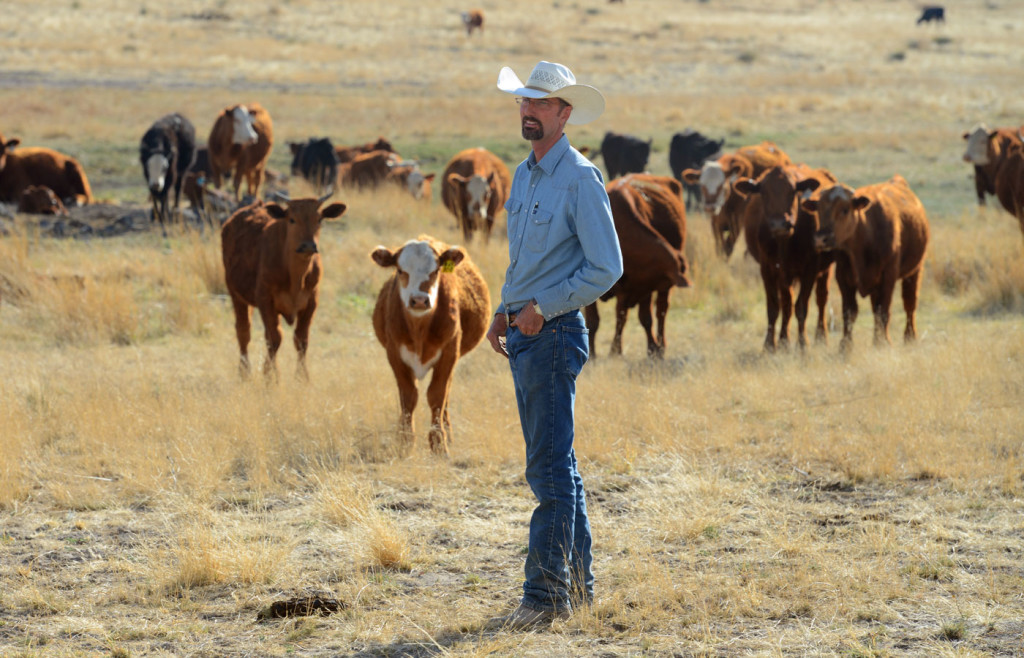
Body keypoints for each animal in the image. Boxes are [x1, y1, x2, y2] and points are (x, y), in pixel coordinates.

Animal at [220, 193, 348, 380]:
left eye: (319, 219)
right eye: (292, 219)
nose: (308, 245)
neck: (295, 277)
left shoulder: (311, 301)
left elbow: (301, 339)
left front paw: (302, 377)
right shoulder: (265, 300)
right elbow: (274, 338)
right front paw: (271, 377)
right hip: (235, 295)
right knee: (244, 332)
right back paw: (244, 372)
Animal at [372, 234, 491, 456]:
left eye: (435, 271)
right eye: (400, 270)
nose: (419, 300)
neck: (419, 329)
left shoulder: (449, 354)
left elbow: (437, 396)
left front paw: (439, 444)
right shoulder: (394, 354)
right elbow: (408, 396)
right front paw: (405, 441)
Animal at [585, 173, 688, 360]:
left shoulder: (643, 286)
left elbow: (638, 318)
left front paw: (621, 350)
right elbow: (593, 320)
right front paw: (593, 354)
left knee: (660, 312)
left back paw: (660, 346)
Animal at [737, 162, 839, 352]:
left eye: (793, 192)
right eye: (764, 193)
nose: (779, 224)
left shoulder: (810, 269)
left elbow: (801, 307)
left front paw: (803, 344)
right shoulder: (768, 269)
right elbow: (774, 307)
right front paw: (771, 345)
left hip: (825, 270)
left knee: (821, 299)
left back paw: (821, 337)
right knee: (786, 303)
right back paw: (784, 340)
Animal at [802, 173, 933, 349]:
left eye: (845, 209)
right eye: (819, 210)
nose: (821, 238)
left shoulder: (888, 276)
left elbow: (883, 310)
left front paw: (883, 343)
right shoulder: (843, 277)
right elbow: (850, 312)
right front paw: (845, 346)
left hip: (915, 271)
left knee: (910, 303)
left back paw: (909, 337)